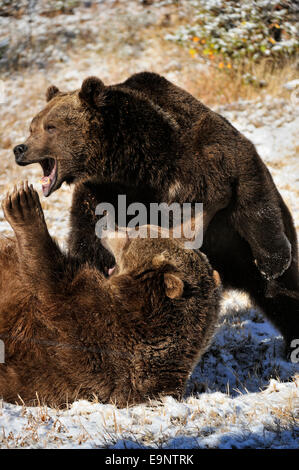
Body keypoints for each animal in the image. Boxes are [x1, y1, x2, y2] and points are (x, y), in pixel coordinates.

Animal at [13, 71, 299, 354]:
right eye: (32, 126)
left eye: (50, 126)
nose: (19, 148)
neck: (140, 164)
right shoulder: (102, 193)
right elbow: (90, 239)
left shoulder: (208, 155)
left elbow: (251, 193)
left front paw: (273, 263)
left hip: (239, 250)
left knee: (283, 292)